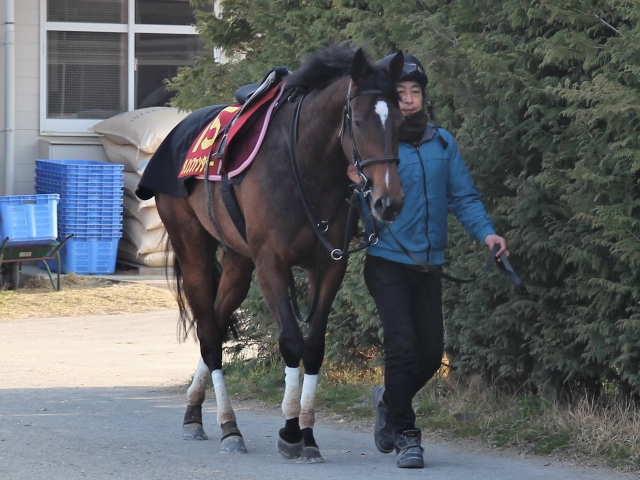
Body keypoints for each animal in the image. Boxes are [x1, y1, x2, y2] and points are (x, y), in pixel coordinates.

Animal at [146, 44, 404, 462]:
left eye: (400, 120)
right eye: (361, 121)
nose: (388, 201)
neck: (305, 165)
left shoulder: (329, 266)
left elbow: (314, 347)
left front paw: (309, 435)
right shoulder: (272, 264)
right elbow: (291, 342)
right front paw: (290, 431)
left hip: (238, 262)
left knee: (216, 321)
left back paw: (194, 412)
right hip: (192, 246)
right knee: (209, 333)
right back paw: (228, 427)